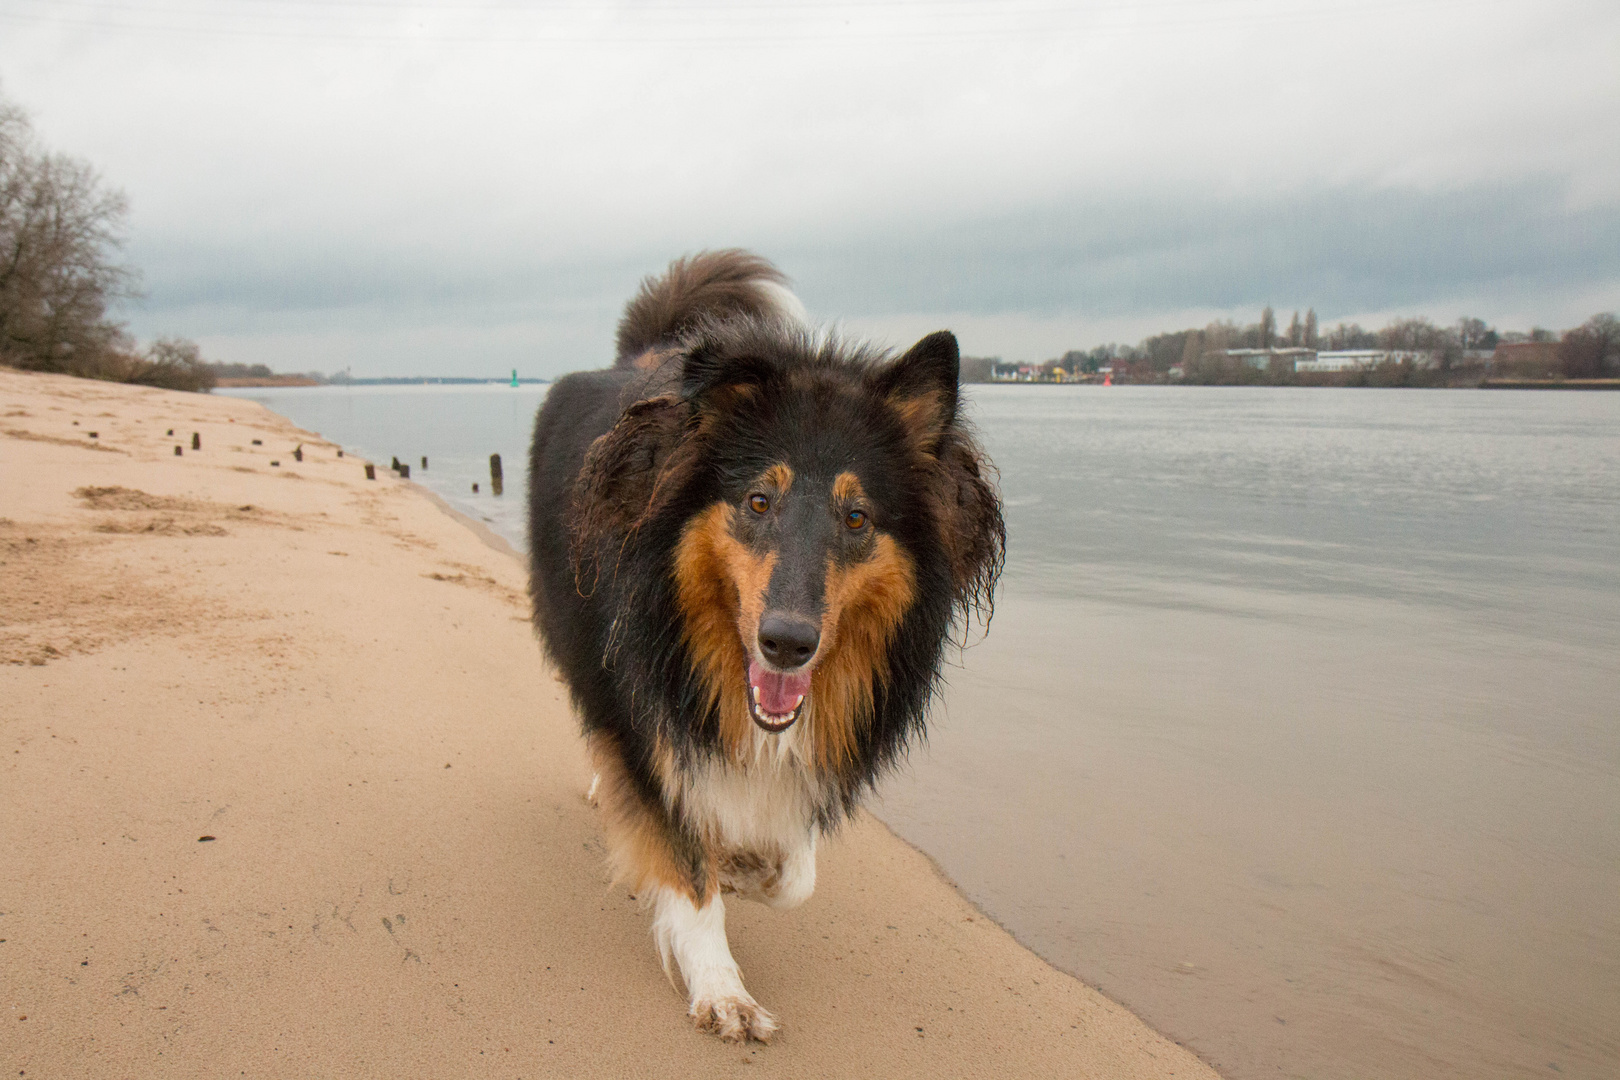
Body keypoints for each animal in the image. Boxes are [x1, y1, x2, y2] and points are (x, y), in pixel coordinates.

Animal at [524, 249, 997, 1042]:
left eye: (857, 516)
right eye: (757, 501)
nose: (787, 644)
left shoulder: (808, 753)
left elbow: (797, 871)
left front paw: (750, 867)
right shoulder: (654, 714)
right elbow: (686, 867)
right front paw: (722, 988)